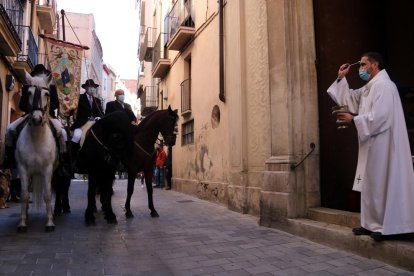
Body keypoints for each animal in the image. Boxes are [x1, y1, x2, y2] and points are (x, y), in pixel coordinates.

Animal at [15, 71, 58, 233]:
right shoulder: (22, 169)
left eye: (47, 94)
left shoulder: (47, 170)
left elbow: (47, 195)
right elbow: (24, 195)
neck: (36, 138)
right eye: (28, 92)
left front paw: (50, 223)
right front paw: (22, 223)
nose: (37, 119)